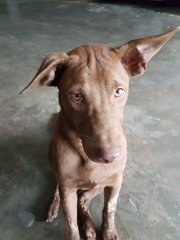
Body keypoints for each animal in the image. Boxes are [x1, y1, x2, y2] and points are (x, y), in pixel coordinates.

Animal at [20, 27, 179, 239]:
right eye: (76, 96)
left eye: (119, 91)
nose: (110, 157)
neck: (84, 157)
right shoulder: (68, 188)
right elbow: (71, 227)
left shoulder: (115, 181)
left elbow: (109, 209)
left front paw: (108, 232)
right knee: (60, 187)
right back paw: (57, 206)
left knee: (84, 198)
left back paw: (88, 224)